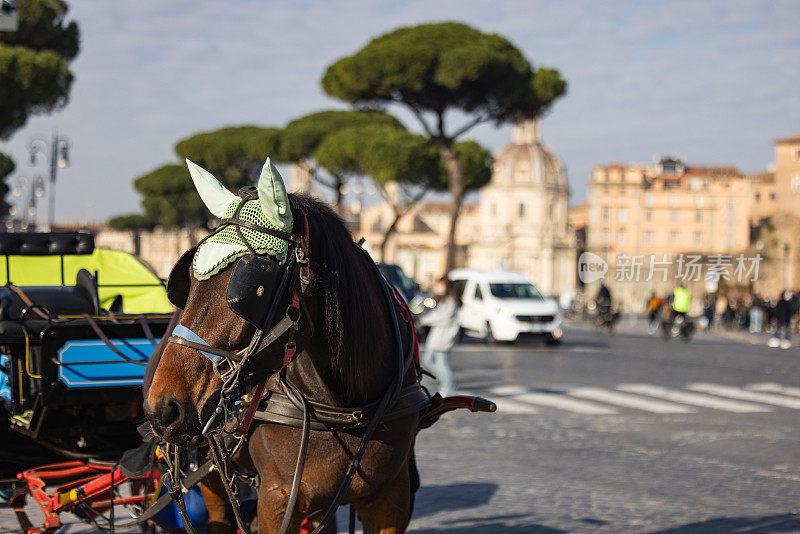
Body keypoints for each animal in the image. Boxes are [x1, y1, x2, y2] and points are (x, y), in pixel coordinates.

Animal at [144, 160, 424, 534]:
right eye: (187, 279)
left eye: (251, 289)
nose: (163, 408)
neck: (346, 406)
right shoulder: (277, 500)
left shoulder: (392, 498)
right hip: (211, 475)